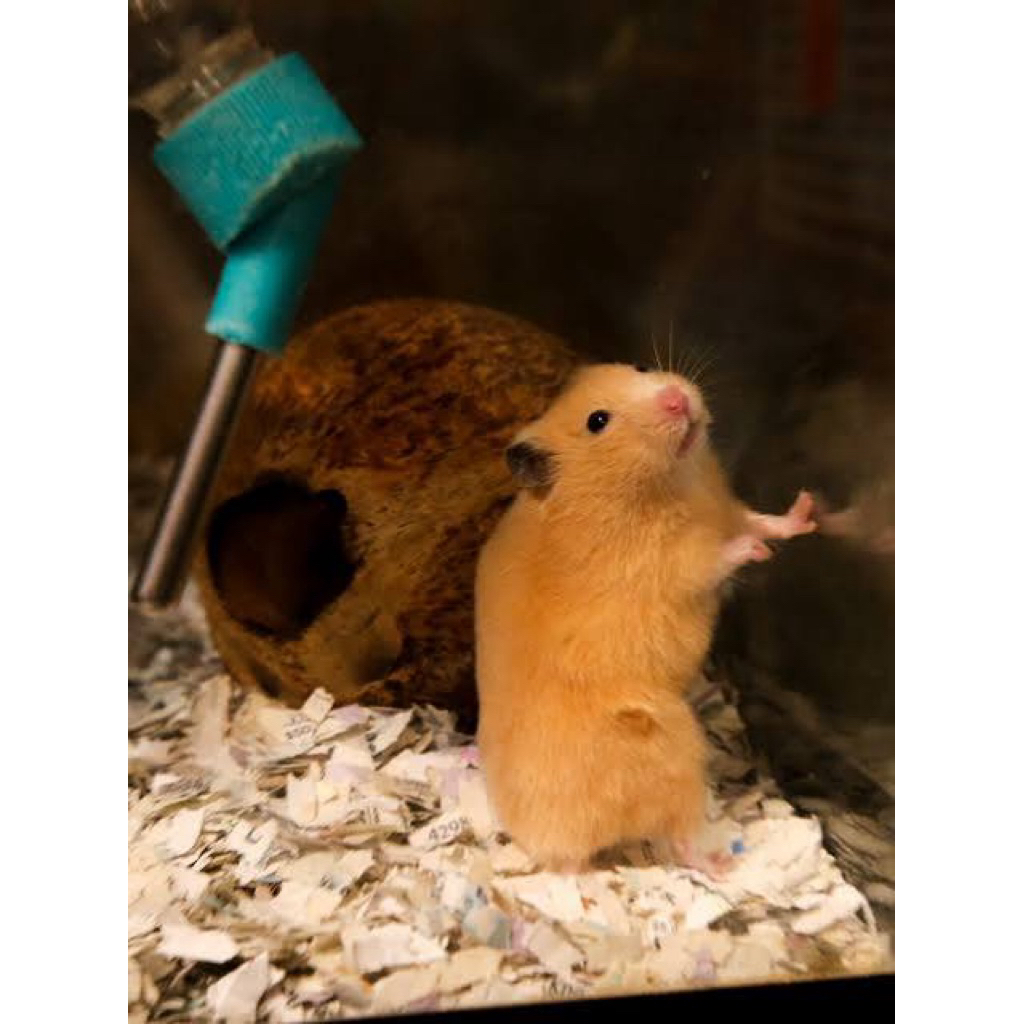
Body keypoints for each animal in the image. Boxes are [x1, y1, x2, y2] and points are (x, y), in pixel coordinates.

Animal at [474, 362, 816, 872]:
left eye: (637, 368)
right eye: (597, 421)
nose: (677, 398)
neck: (675, 479)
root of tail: (561, 855)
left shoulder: (729, 508)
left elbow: (762, 519)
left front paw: (806, 509)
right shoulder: (670, 563)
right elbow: (718, 555)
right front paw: (757, 551)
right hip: (674, 756)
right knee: (681, 839)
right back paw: (725, 865)